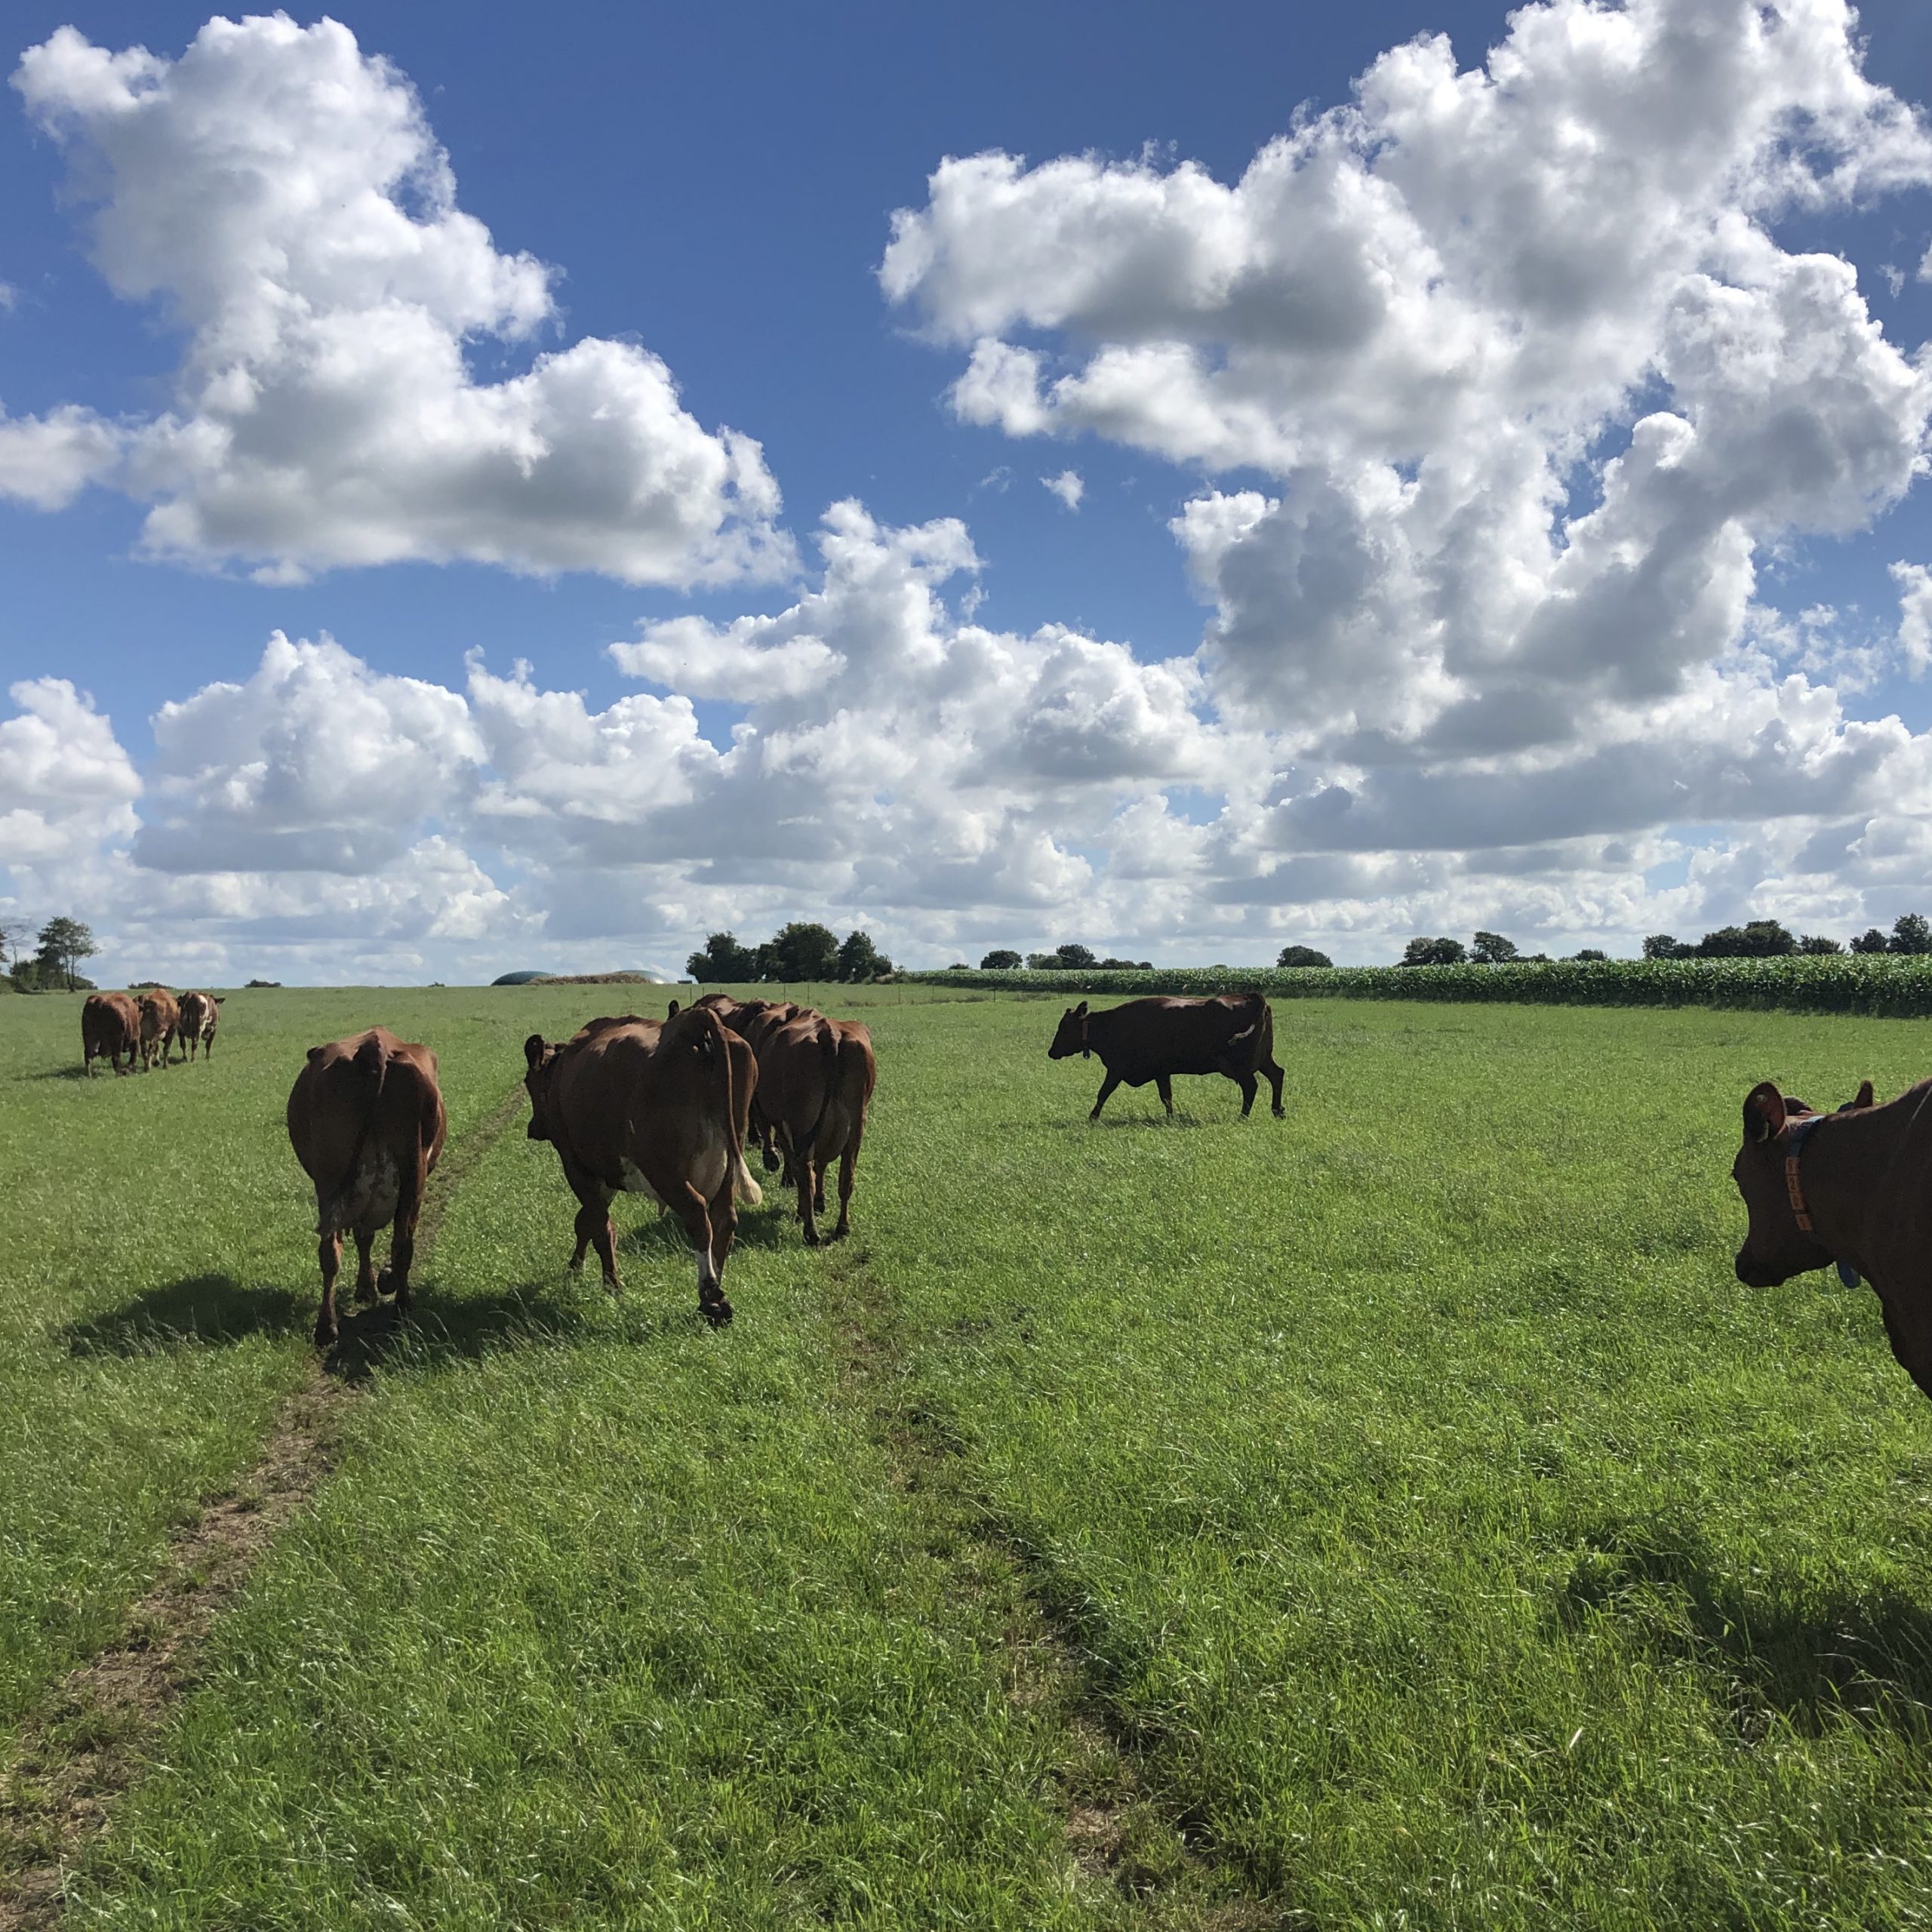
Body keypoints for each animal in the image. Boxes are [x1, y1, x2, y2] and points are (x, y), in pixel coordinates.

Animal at [284, 1027, 446, 1344]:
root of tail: (375, 1046)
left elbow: (363, 1238)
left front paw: (367, 1287)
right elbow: (368, 1237)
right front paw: (375, 1284)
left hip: (332, 1179)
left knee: (331, 1251)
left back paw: (327, 1327)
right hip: (413, 1175)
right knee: (401, 1244)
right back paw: (400, 1306)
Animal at [521, 1004, 761, 1321]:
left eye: (528, 1082)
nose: (533, 1128)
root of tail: (693, 1021)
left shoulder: (576, 1166)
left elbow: (598, 1225)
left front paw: (610, 1285)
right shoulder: (608, 1173)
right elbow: (588, 1221)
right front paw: (576, 1270)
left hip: (663, 1169)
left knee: (698, 1215)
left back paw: (711, 1298)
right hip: (728, 1166)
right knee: (724, 1220)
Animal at [753, 1012, 884, 1236]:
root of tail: (828, 1033)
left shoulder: (784, 1127)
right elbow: (821, 1165)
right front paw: (820, 1203)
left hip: (802, 1125)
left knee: (805, 1175)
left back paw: (810, 1230)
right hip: (856, 1125)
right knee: (846, 1177)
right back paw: (842, 1227)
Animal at [1051, 996, 1291, 1120]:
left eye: (1064, 1028)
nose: (1051, 1052)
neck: (1114, 1025)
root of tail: (1254, 997)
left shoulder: (1117, 1069)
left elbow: (1103, 1092)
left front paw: (1092, 1117)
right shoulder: (1162, 1071)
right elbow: (1166, 1096)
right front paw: (1170, 1118)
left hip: (1238, 1065)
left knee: (1251, 1086)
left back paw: (1243, 1116)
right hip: (1264, 1058)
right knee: (1277, 1075)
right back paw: (1277, 1111)